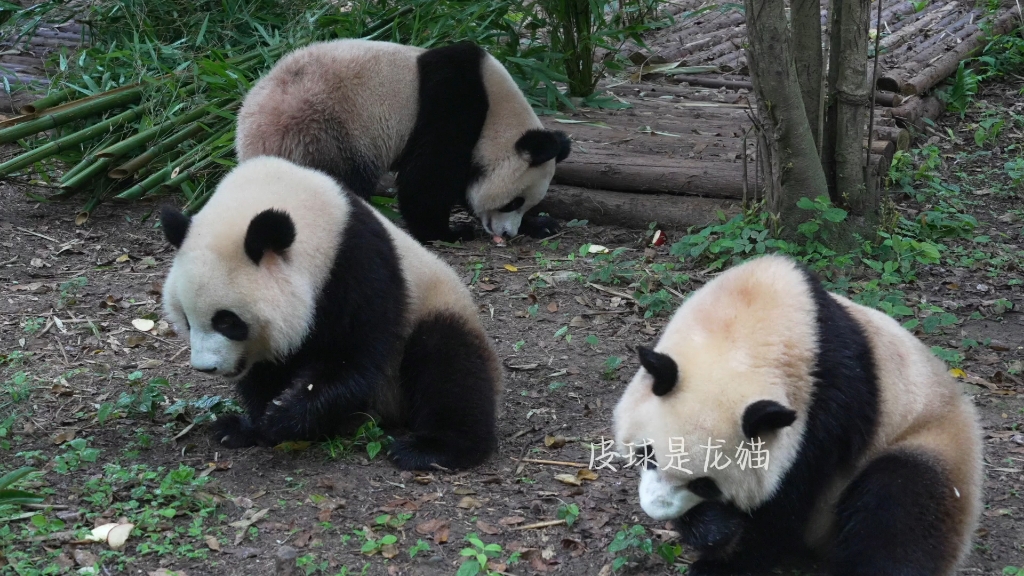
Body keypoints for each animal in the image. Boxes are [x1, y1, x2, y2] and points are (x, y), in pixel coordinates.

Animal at [158, 154, 503, 469]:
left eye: (228, 321)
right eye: (187, 320)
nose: (206, 367)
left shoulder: (358, 265)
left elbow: (352, 355)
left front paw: (283, 415)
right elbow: (269, 369)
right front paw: (254, 425)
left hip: (433, 310)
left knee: (449, 365)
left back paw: (432, 449)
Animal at [234, 37, 577, 243]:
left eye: (525, 203)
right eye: (513, 201)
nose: (507, 233)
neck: (497, 112)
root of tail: (252, 129)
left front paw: (541, 224)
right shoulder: (453, 100)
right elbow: (429, 175)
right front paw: (448, 231)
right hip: (324, 131)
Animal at [610, 254, 978, 573]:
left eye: (705, 485)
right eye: (646, 454)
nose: (656, 509)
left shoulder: (827, 408)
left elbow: (788, 500)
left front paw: (723, 559)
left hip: (930, 440)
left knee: (900, 509)